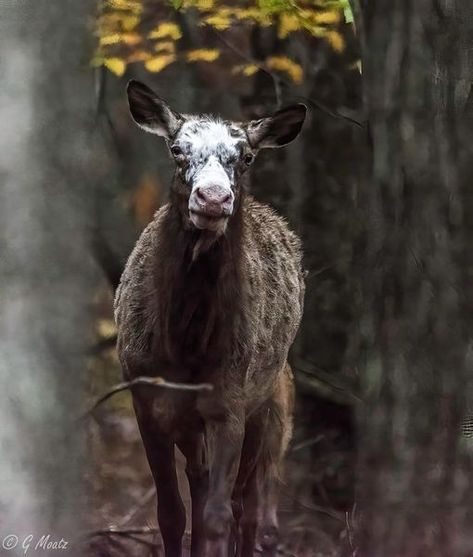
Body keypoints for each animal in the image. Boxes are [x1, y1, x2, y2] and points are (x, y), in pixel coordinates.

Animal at [114, 79, 306, 556]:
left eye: (246, 156)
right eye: (177, 149)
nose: (214, 198)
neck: (185, 346)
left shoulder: (230, 402)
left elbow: (220, 514)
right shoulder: (147, 401)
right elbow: (171, 512)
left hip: (270, 405)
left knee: (248, 503)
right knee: (199, 483)